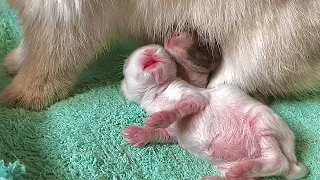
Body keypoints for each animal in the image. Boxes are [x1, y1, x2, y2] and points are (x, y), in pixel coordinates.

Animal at [120, 44, 308, 179]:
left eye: (163, 51)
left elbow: (183, 105)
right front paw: (139, 134)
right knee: (247, 176)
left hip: (262, 123)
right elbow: (163, 134)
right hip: (229, 163)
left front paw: (160, 118)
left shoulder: (192, 94)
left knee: (277, 160)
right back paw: (233, 173)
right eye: (127, 63)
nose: (150, 49)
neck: (158, 93)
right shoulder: (171, 133)